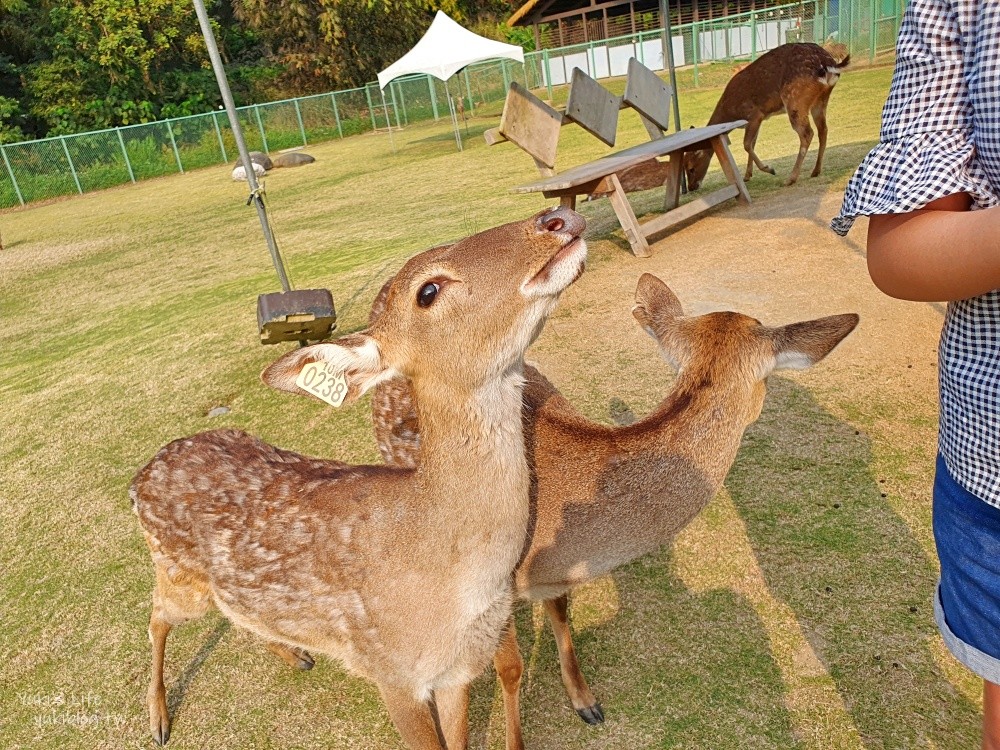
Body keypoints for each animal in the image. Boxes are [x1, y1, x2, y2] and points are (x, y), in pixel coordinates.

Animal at [130, 207, 588, 750]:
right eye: (428, 290)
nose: (555, 218)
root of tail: (140, 476)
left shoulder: (457, 671)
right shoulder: (391, 670)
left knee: (232, 613)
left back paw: (296, 654)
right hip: (177, 575)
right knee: (156, 616)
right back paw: (158, 717)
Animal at [684, 43, 848, 191]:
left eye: (691, 168)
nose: (691, 187)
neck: (730, 111)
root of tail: (828, 64)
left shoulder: (754, 114)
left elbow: (746, 144)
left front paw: (769, 169)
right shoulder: (758, 120)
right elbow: (752, 144)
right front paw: (747, 176)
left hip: (795, 99)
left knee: (807, 133)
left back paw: (790, 179)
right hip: (820, 101)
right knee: (823, 130)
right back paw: (816, 171)